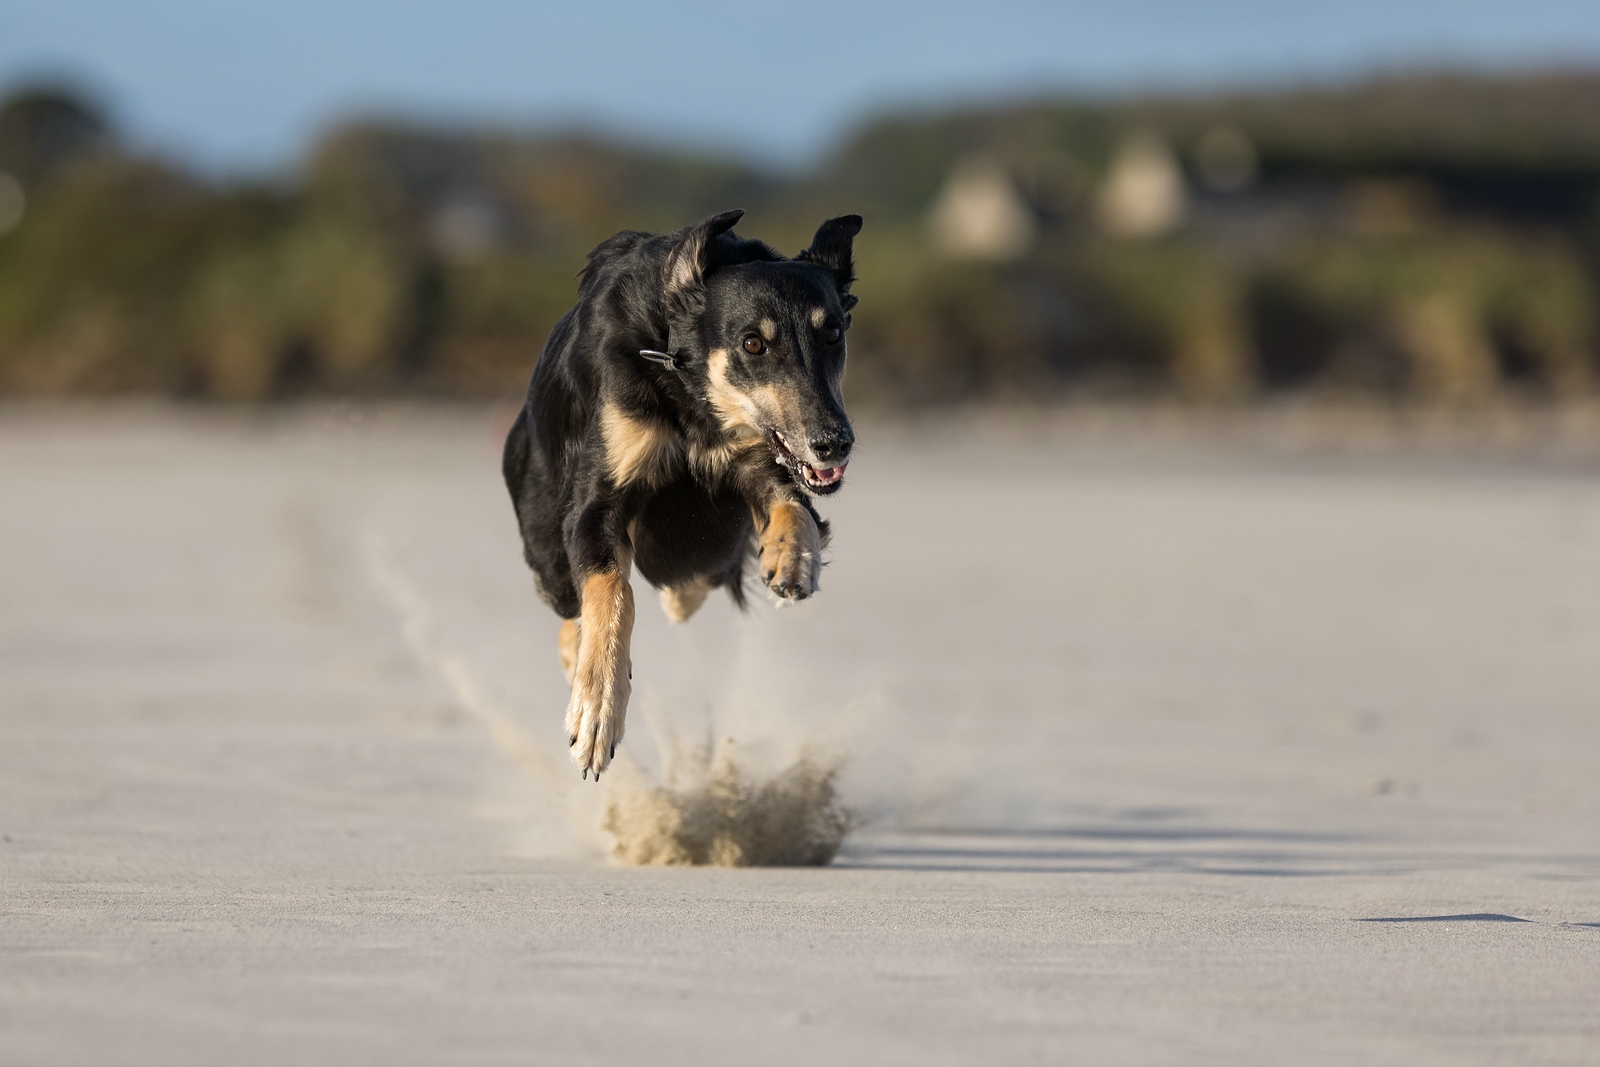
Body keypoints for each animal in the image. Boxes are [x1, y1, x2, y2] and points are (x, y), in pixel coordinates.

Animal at [502, 206, 864, 777]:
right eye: (753, 343)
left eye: (831, 335)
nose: (834, 443)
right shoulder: (593, 507)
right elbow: (612, 590)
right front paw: (598, 706)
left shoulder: (763, 460)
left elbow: (794, 505)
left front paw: (793, 558)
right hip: (547, 548)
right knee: (573, 605)